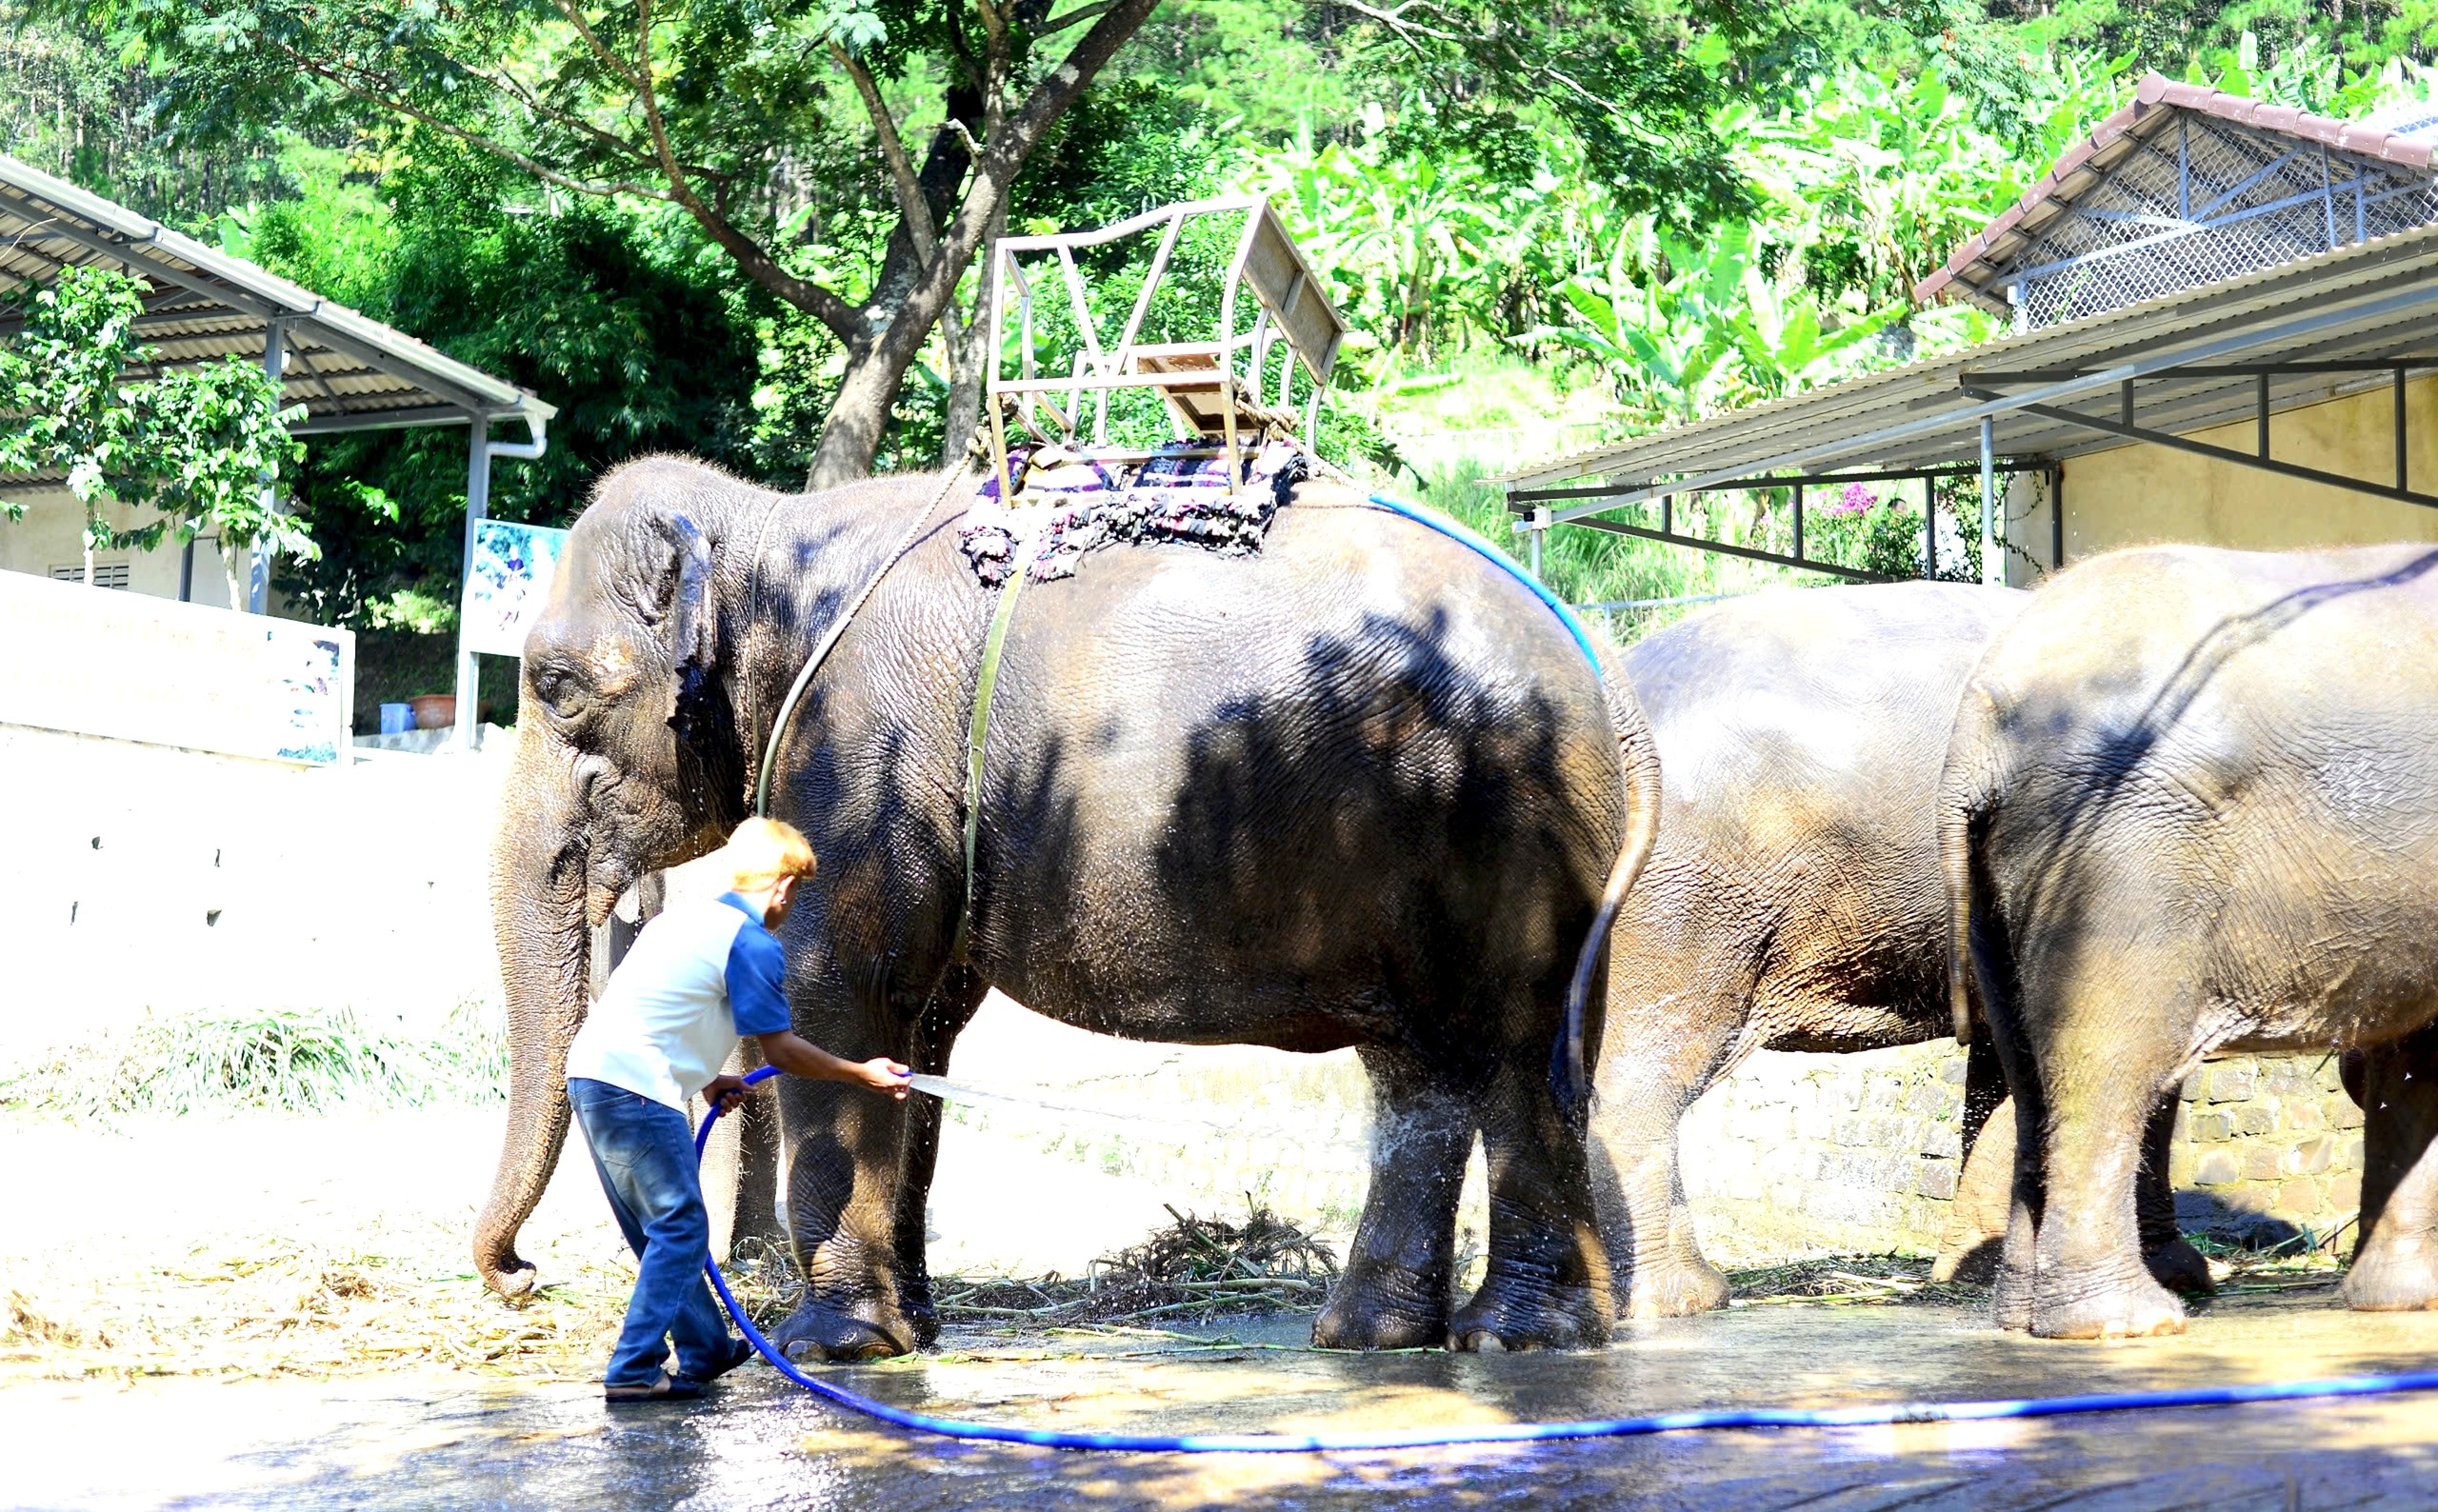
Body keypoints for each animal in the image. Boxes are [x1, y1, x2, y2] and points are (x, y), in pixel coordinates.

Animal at [465, 458, 1668, 1356]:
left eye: (556, 691)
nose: (521, 1276)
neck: (768, 526)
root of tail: (1600, 656)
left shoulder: (858, 754)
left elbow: (831, 995)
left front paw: (832, 1347)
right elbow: (918, 1028)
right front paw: (914, 1333)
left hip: (1506, 826)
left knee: (1508, 1051)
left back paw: (1516, 1337)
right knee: (1418, 1067)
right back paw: (1373, 1336)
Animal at [1940, 541, 2438, 1336]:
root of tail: (1979, 719)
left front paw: (2402, 1303)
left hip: (2001, 881)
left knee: (2026, 1069)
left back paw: (2023, 1318)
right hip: (2125, 851)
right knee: (2106, 1060)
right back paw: (2127, 1322)